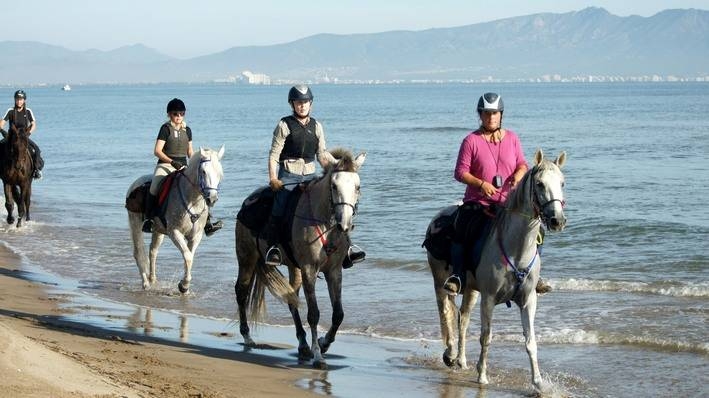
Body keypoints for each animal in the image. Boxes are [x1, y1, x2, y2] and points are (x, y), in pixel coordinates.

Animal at [127, 146, 224, 292]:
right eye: (203, 171)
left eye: (220, 173)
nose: (212, 199)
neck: (192, 200)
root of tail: (135, 183)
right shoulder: (175, 232)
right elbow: (188, 256)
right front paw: (183, 286)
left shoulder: (195, 236)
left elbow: (190, 256)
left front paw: (185, 286)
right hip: (135, 222)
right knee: (138, 252)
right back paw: (146, 284)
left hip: (157, 230)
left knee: (153, 251)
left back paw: (152, 279)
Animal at [236, 148, 366, 370]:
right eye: (334, 186)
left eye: (357, 187)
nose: (345, 224)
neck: (324, 223)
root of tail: (248, 202)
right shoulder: (309, 270)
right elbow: (313, 313)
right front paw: (319, 356)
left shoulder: (334, 271)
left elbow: (338, 314)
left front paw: (323, 343)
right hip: (247, 258)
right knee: (241, 291)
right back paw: (247, 337)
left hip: (292, 268)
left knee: (292, 300)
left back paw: (303, 345)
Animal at [424, 149, 568, 392]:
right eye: (539, 184)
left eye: (562, 183)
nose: (557, 220)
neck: (516, 250)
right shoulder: (489, 298)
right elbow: (486, 337)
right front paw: (482, 376)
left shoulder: (528, 300)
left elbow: (530, 341)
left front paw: (538, 383)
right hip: (440, 282)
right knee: (445, 314)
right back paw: (450, 355)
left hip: (471, 290)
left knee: (462, 319)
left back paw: (461, 360)